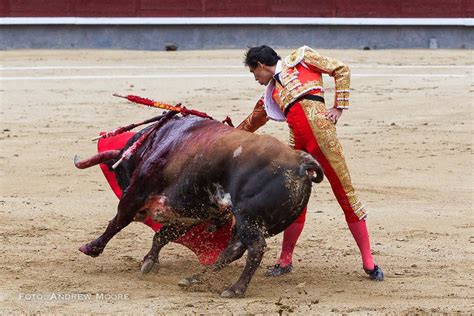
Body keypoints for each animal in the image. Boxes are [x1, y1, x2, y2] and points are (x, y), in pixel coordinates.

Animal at [76, 111, 324, 298]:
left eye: (119, 172)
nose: (142, 214)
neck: (155, 142)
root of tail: (301, 163)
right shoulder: (189, 214)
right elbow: (162, 235)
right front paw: (149, 262)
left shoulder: (137, 193)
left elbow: (118, 221)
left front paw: (91, 247)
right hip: (256, 223)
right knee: (233, 249)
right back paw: (195, 278)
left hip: (248, 217)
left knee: (255, 248)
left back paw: (235, 289)